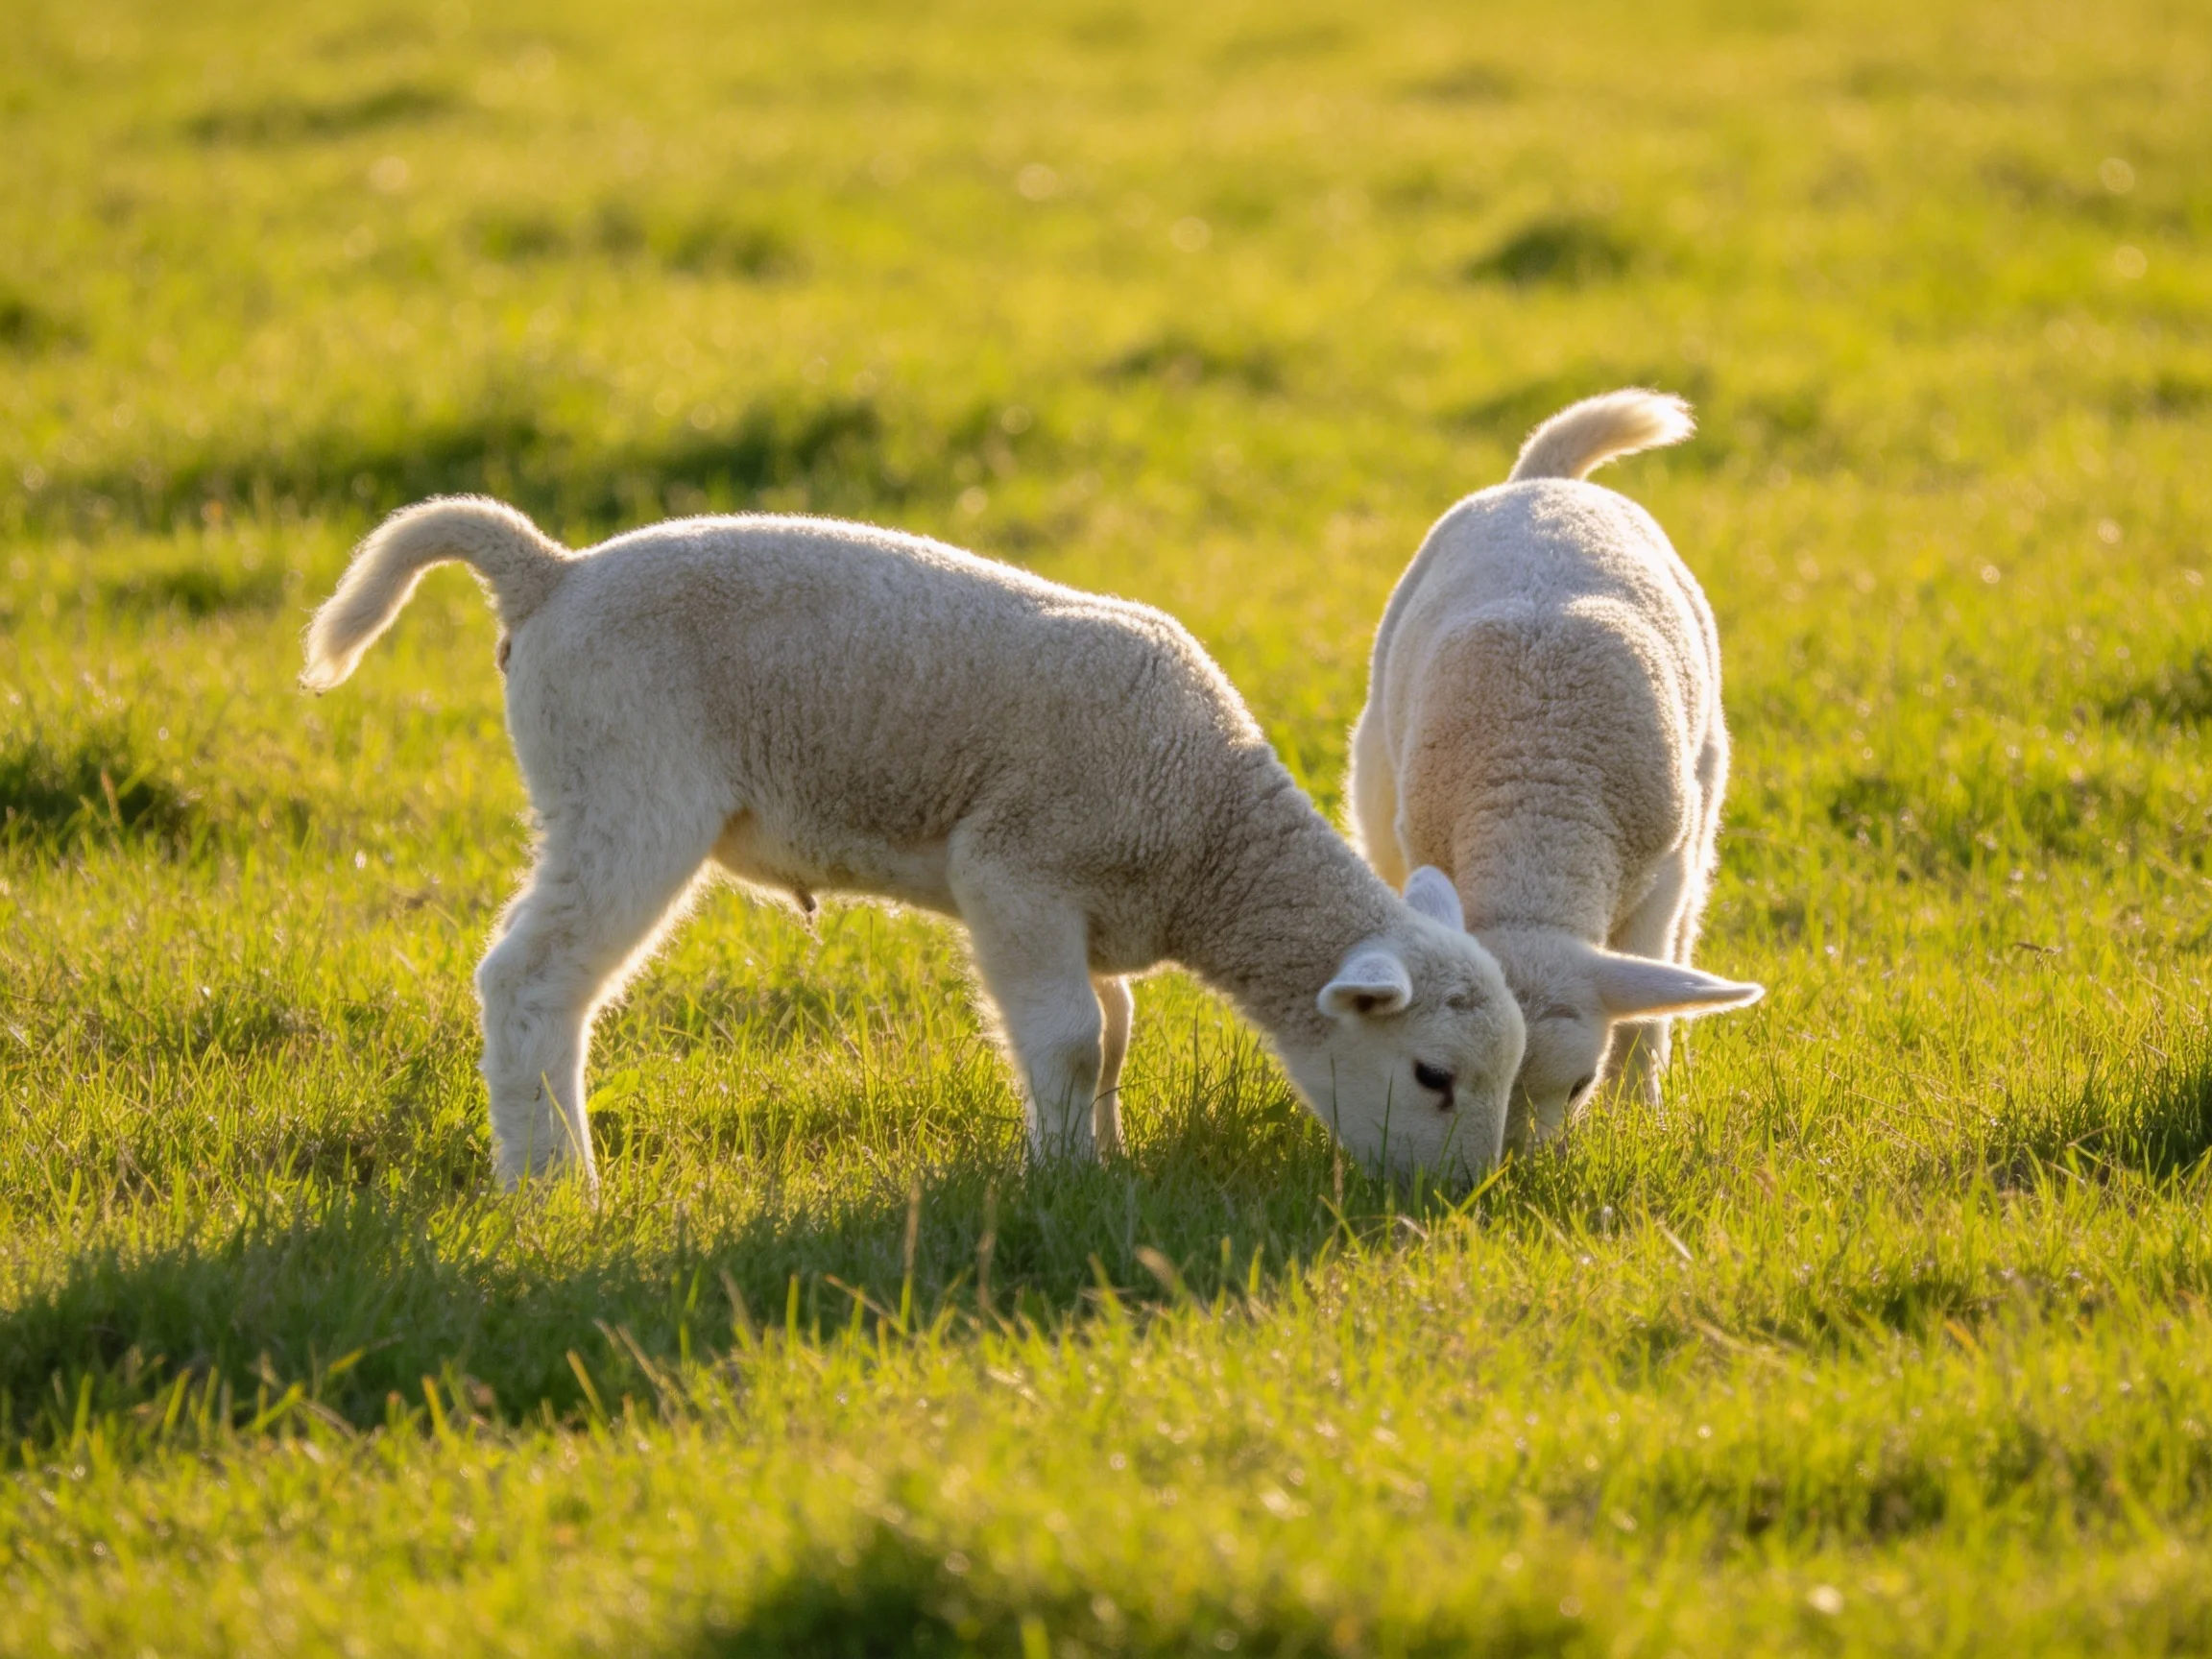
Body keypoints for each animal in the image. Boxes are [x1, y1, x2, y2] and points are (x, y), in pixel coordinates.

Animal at [304, 497, 1526, 1191]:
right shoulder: (1015, 871)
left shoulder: (1081, 910)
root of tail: (551, 572)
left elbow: (1111, 1036)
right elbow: (1070, 1042)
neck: (1207, 837)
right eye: (1432, 1076)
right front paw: (1066, 1184)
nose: (1459, 1201)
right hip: (623, 786)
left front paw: (1102, 1158)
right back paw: (551, 1185)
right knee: (532, 980)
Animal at [1347, 390, 1763, 1147]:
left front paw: (1642, 1118)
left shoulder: (1664, 871)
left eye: (1580, 1085)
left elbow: (1641, 1025)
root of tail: (1546, 480)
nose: (1514, 1166)